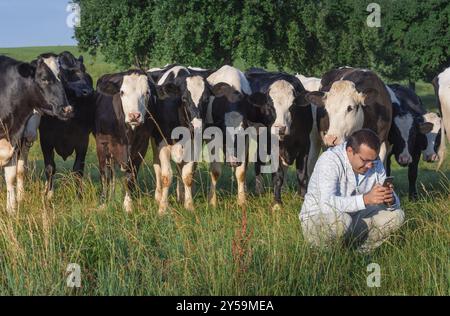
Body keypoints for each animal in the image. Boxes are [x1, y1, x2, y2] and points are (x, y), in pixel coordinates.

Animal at [0, 54, 73, 214]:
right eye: (44, 78)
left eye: (62, 77)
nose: (67, 110)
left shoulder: (14, 139)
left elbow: (12, 176)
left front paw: (11, 208)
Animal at [94, 69, 156, 212]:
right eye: (122, 92)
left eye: (147, 92)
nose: (134, 116)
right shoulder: (102, 144)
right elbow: (104, 174)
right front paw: (103, 203)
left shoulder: (141, 147)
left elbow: (130, 175)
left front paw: (128, 204)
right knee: (110, 172)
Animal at [244, 69, 314, 210]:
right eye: (269, 105)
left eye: (292, 106)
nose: (280, 128)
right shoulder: (273, 146)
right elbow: (277, 175)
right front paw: (277, 203)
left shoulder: (305, 144)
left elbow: (302, 175)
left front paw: (303, 198)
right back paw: (257, 190)